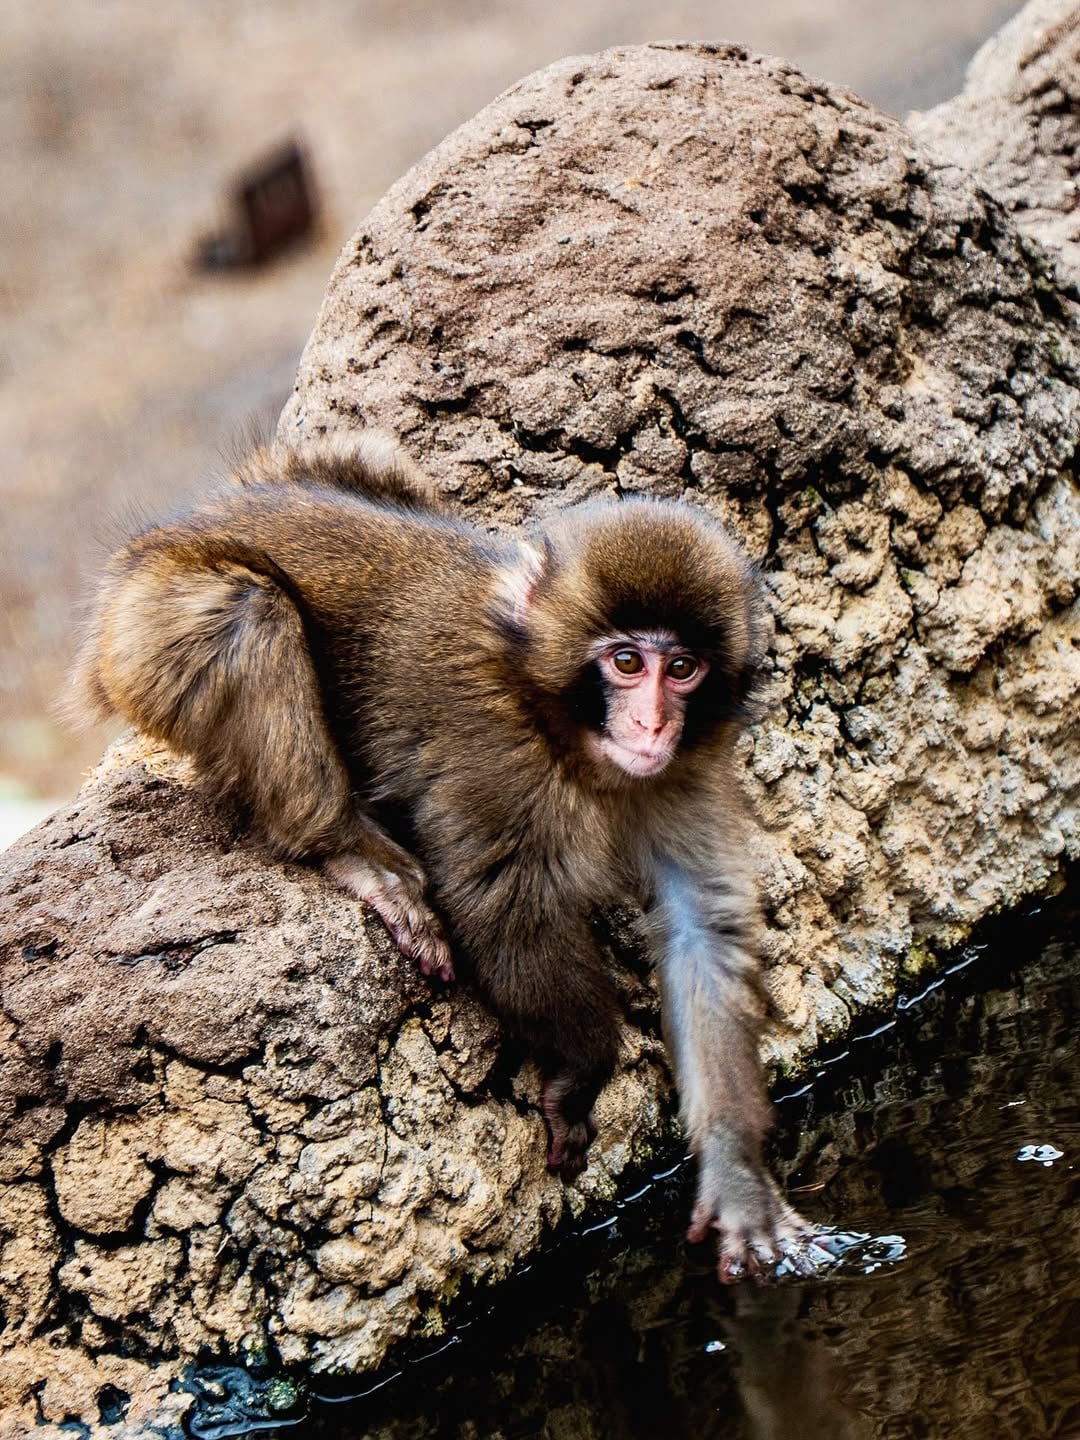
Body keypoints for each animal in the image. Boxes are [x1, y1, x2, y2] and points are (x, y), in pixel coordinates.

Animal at [71, 433, 821, 1281]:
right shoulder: (500, 760)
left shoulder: (686, 774)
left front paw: (737, 1178)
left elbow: (703, 933)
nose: (654, 724)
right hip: (148, 624)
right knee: (248, 611)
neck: (557, 721)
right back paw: (344, 846)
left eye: (682, 668)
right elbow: (505, 915)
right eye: (628, 663)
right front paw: (584, 1070)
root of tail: (171, 533)